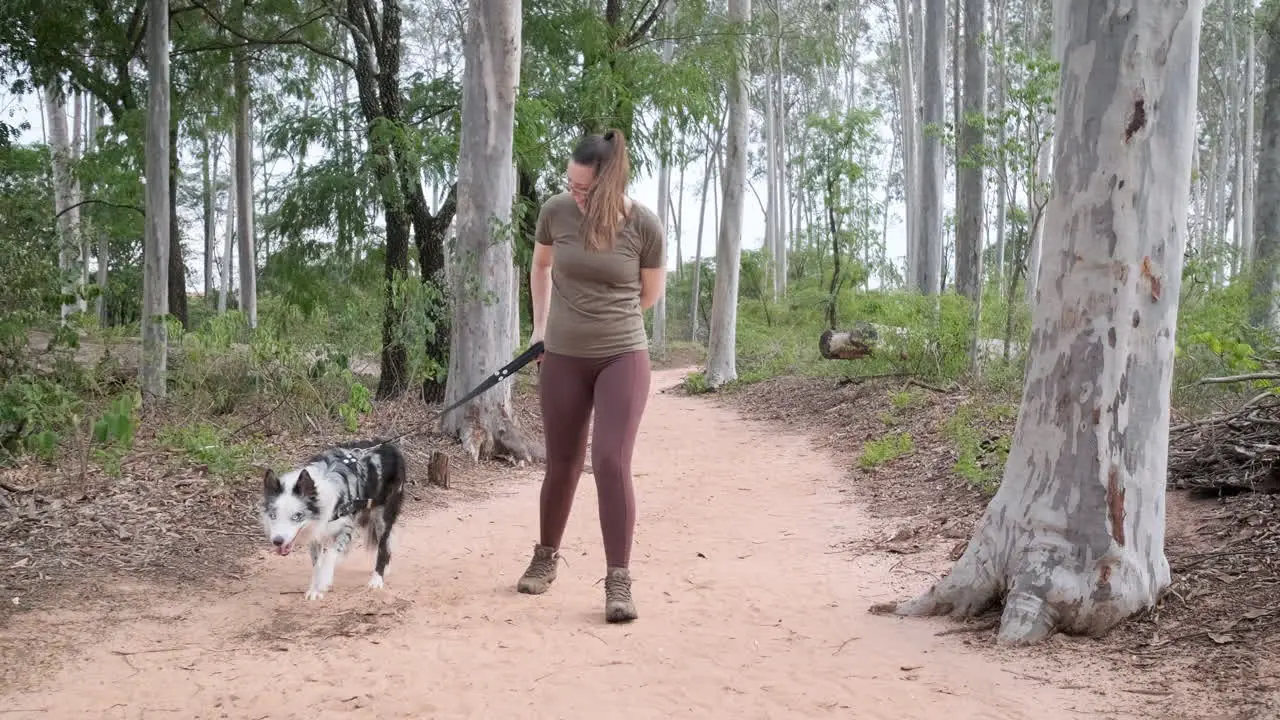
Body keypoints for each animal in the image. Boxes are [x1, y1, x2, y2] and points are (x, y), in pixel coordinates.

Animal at [256, 438, 404, 599]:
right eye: (273, 516)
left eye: (297, 516)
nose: (277, 541)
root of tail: (388, 445)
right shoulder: (315, 531)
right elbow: (317, 563)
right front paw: (314, 589)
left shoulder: (346, 527)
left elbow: (330, 554)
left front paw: (324, 581)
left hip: (382, 515)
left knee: (383, 544)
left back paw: (377, 579)